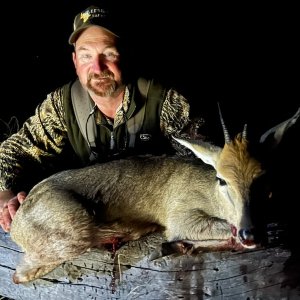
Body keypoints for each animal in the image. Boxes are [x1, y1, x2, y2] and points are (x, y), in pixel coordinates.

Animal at [9, 107, 300, 284]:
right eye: (222, 179)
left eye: (263, 177)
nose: (250, 233)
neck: (210, 194)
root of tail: (16, 226)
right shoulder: (180, 215)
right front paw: (174, 245)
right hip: (75, 229)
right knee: (20, 274)